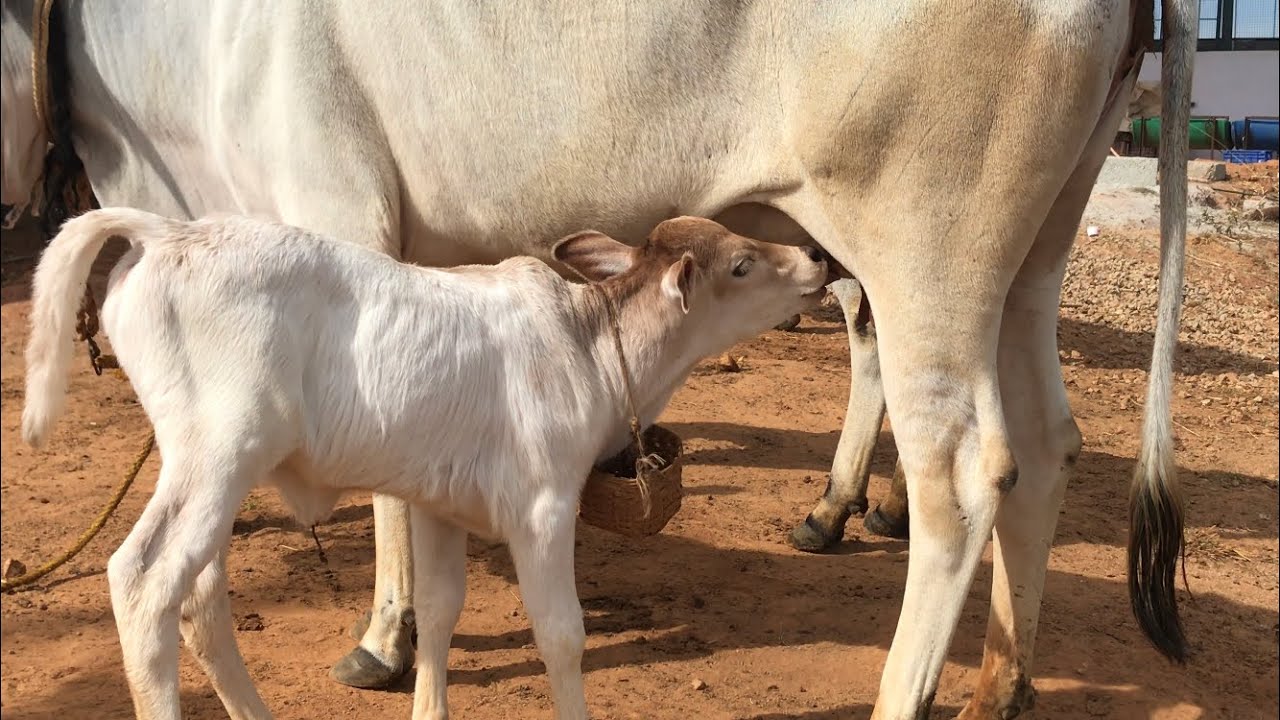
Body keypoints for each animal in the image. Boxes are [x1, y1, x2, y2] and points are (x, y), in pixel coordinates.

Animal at [1, 1, 1194, 717]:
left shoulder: (335, 203)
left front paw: (381, 634)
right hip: (1028, 255)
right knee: (1044, 446)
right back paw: (1001, 684)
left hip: (921, 245)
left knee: (961, 476)